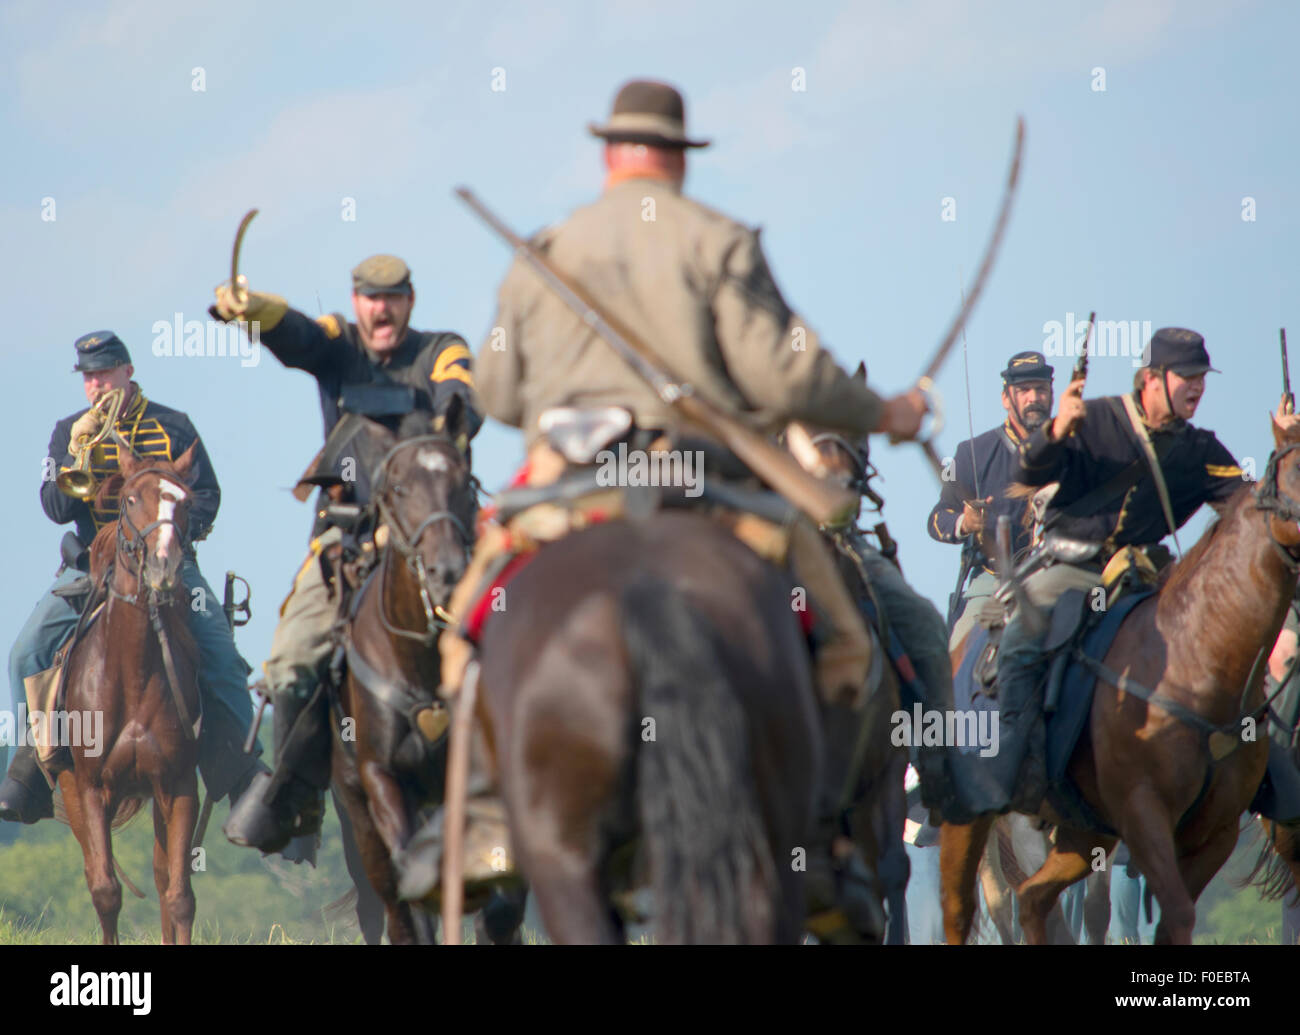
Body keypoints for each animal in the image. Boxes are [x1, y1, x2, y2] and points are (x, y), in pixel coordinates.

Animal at [56, 439, 202, 941]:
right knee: (93, 870)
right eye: (131, 499)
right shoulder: (92, 788)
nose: (163, 566)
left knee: (161, 878)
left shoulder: (178, 785)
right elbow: (105, 891)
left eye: (187, 503)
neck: (133, 674)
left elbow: (178, 894)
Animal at [941, 418, 1300, 946]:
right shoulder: (1142, 812)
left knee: (1035, 899)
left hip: (1081, 829)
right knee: (969, 907)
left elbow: (1164, 917)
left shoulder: (1213, 834)